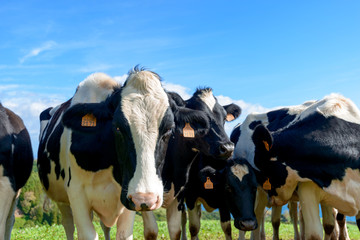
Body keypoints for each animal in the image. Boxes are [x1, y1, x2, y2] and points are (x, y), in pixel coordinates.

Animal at [37, 67, 214, 240]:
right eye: (117, 127)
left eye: (169, 129)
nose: (146, 198)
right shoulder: (76, 193)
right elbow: (87, 234)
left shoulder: (128, 199)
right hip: (62, 199)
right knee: (69, 226)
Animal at [235, 94, 360, 240]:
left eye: (261, 171)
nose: (272, 198)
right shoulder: (307, 189)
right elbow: (315, 233)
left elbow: (330, 224)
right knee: (257, 216)